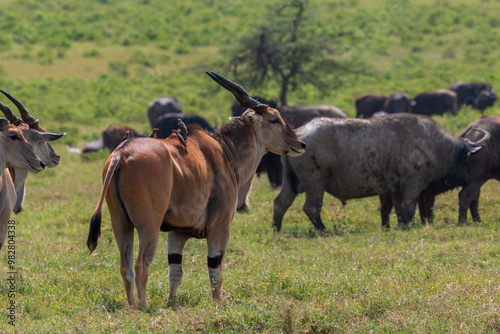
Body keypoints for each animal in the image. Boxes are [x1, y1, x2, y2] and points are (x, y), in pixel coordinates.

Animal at [87, 72, 304, 310]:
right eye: (274, 119)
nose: (301, 144)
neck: (226, 151)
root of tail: (120, 155)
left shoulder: (177, 233)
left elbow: (175, 272)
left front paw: (171, 303)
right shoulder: (220, 228)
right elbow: (215, 271)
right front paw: (218, 303)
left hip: (122, 225)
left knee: (125, 268)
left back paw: (132, 306)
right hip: (149, 226)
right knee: (140, 265)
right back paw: (143, 308)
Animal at [274, 113, 488, 231]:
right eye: (466, 158)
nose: (466, 179)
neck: (434, 144)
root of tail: (298, 134)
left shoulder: (395, 190)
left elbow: (399, 210)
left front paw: (401, 225)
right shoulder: (412, 185)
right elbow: (409, 208)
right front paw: (409, 226)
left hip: (291, 184)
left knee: (280, 203)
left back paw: (276, 229)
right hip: (315, 183)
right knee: (311, 208)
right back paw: (323, 230)